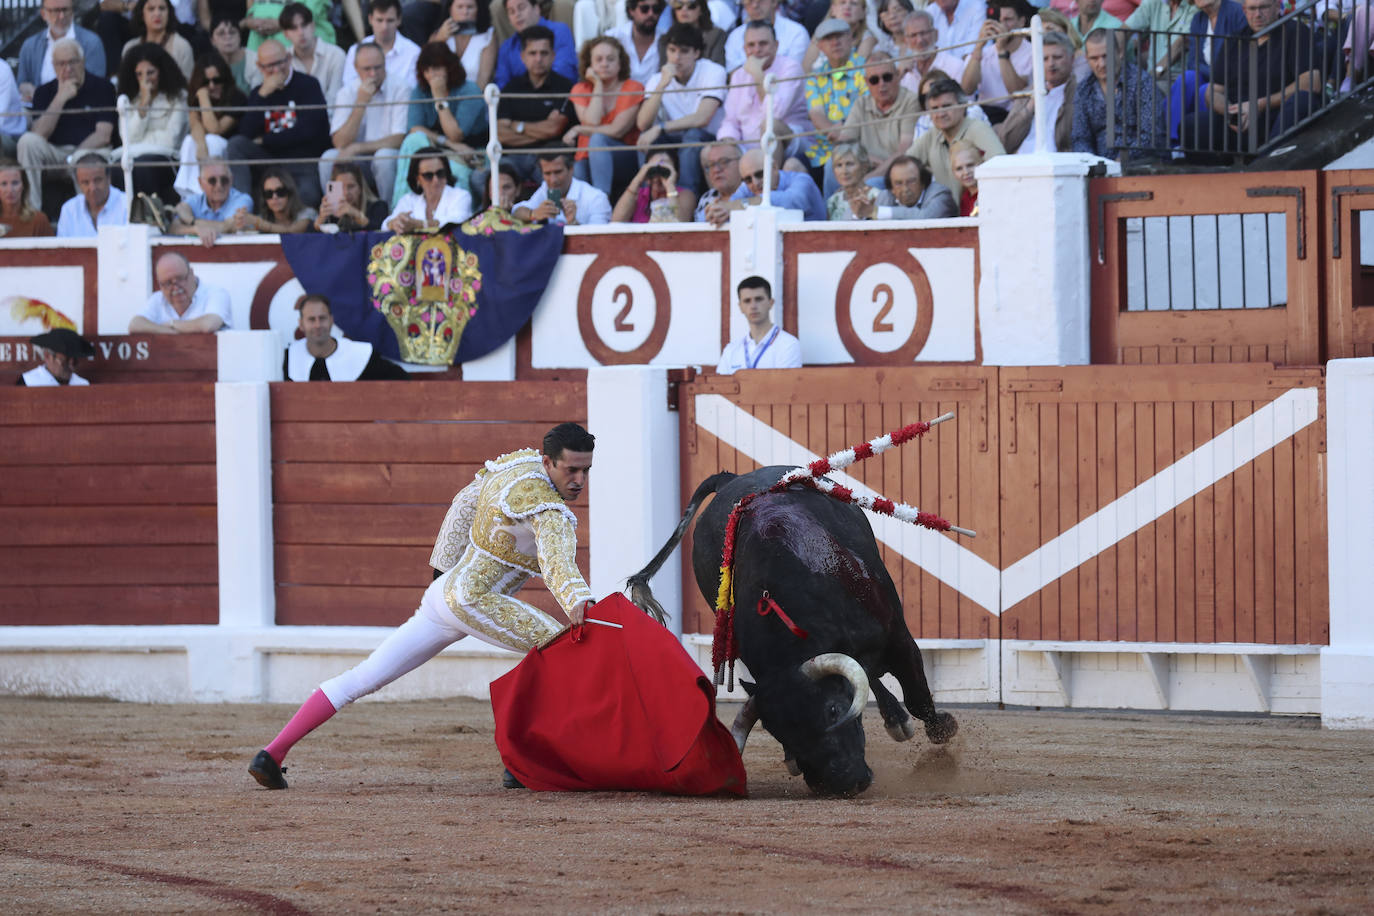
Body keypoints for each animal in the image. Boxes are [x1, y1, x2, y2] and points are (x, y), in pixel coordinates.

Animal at [626, 466, 956, 796]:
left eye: (833, 711)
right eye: (780, 734)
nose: (841, 783)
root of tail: (731, 478)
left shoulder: (898, 638)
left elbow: (916, 696)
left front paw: (943, 728)